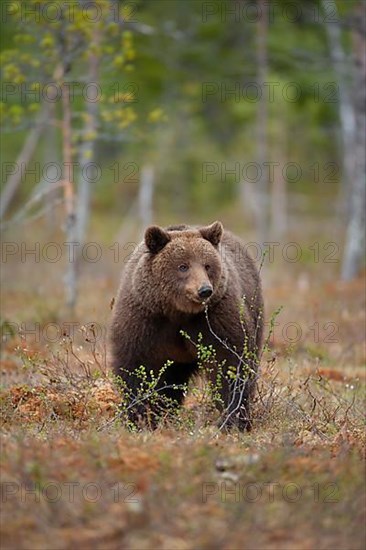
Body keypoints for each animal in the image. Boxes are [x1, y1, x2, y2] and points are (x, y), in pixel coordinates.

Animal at [108, 222, 264, 434]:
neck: (178, 312)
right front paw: (140, 418)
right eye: (183, 266)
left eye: (207, 265)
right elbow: (137, 366)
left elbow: (231, 362)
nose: (205, 290)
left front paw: (232, 420)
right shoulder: (144, 318)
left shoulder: (215, 317)